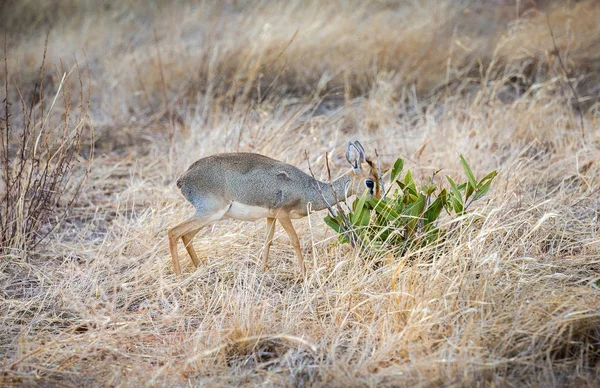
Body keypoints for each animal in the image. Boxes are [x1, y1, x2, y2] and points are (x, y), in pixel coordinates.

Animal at [166, 141, 382, 278]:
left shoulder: (271, 216)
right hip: (209, 213)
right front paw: (305, 274)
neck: (308, 189)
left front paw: (262, 270)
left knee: (187, 236)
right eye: (370, 182)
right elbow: (295, 241)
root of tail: (183, 177)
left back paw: (200, 268)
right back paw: (179, 277)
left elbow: (267, 241)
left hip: (211, 216)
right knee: (173, 232)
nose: (380, 201)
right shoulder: (283, 214)